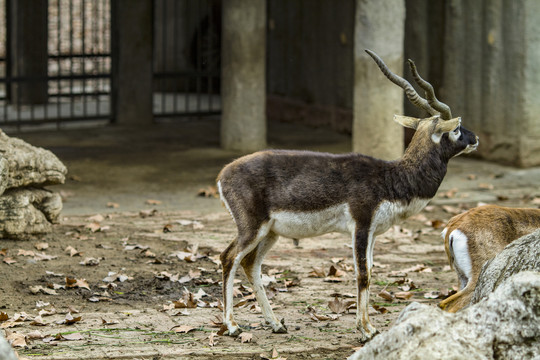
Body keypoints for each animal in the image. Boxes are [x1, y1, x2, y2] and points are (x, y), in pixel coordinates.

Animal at [217, 50, 478, 340]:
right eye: (456, 129)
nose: (475, 139)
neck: (391, 177)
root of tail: (223, 173)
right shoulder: (361, 225)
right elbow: (362, 273)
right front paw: (365, 331)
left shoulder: (373, 232)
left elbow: (371, 270)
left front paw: (369, 326)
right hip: (252, 228)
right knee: (228, 257)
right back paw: (232, 326)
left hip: (270, 233)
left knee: (250, 263)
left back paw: (275, 323)